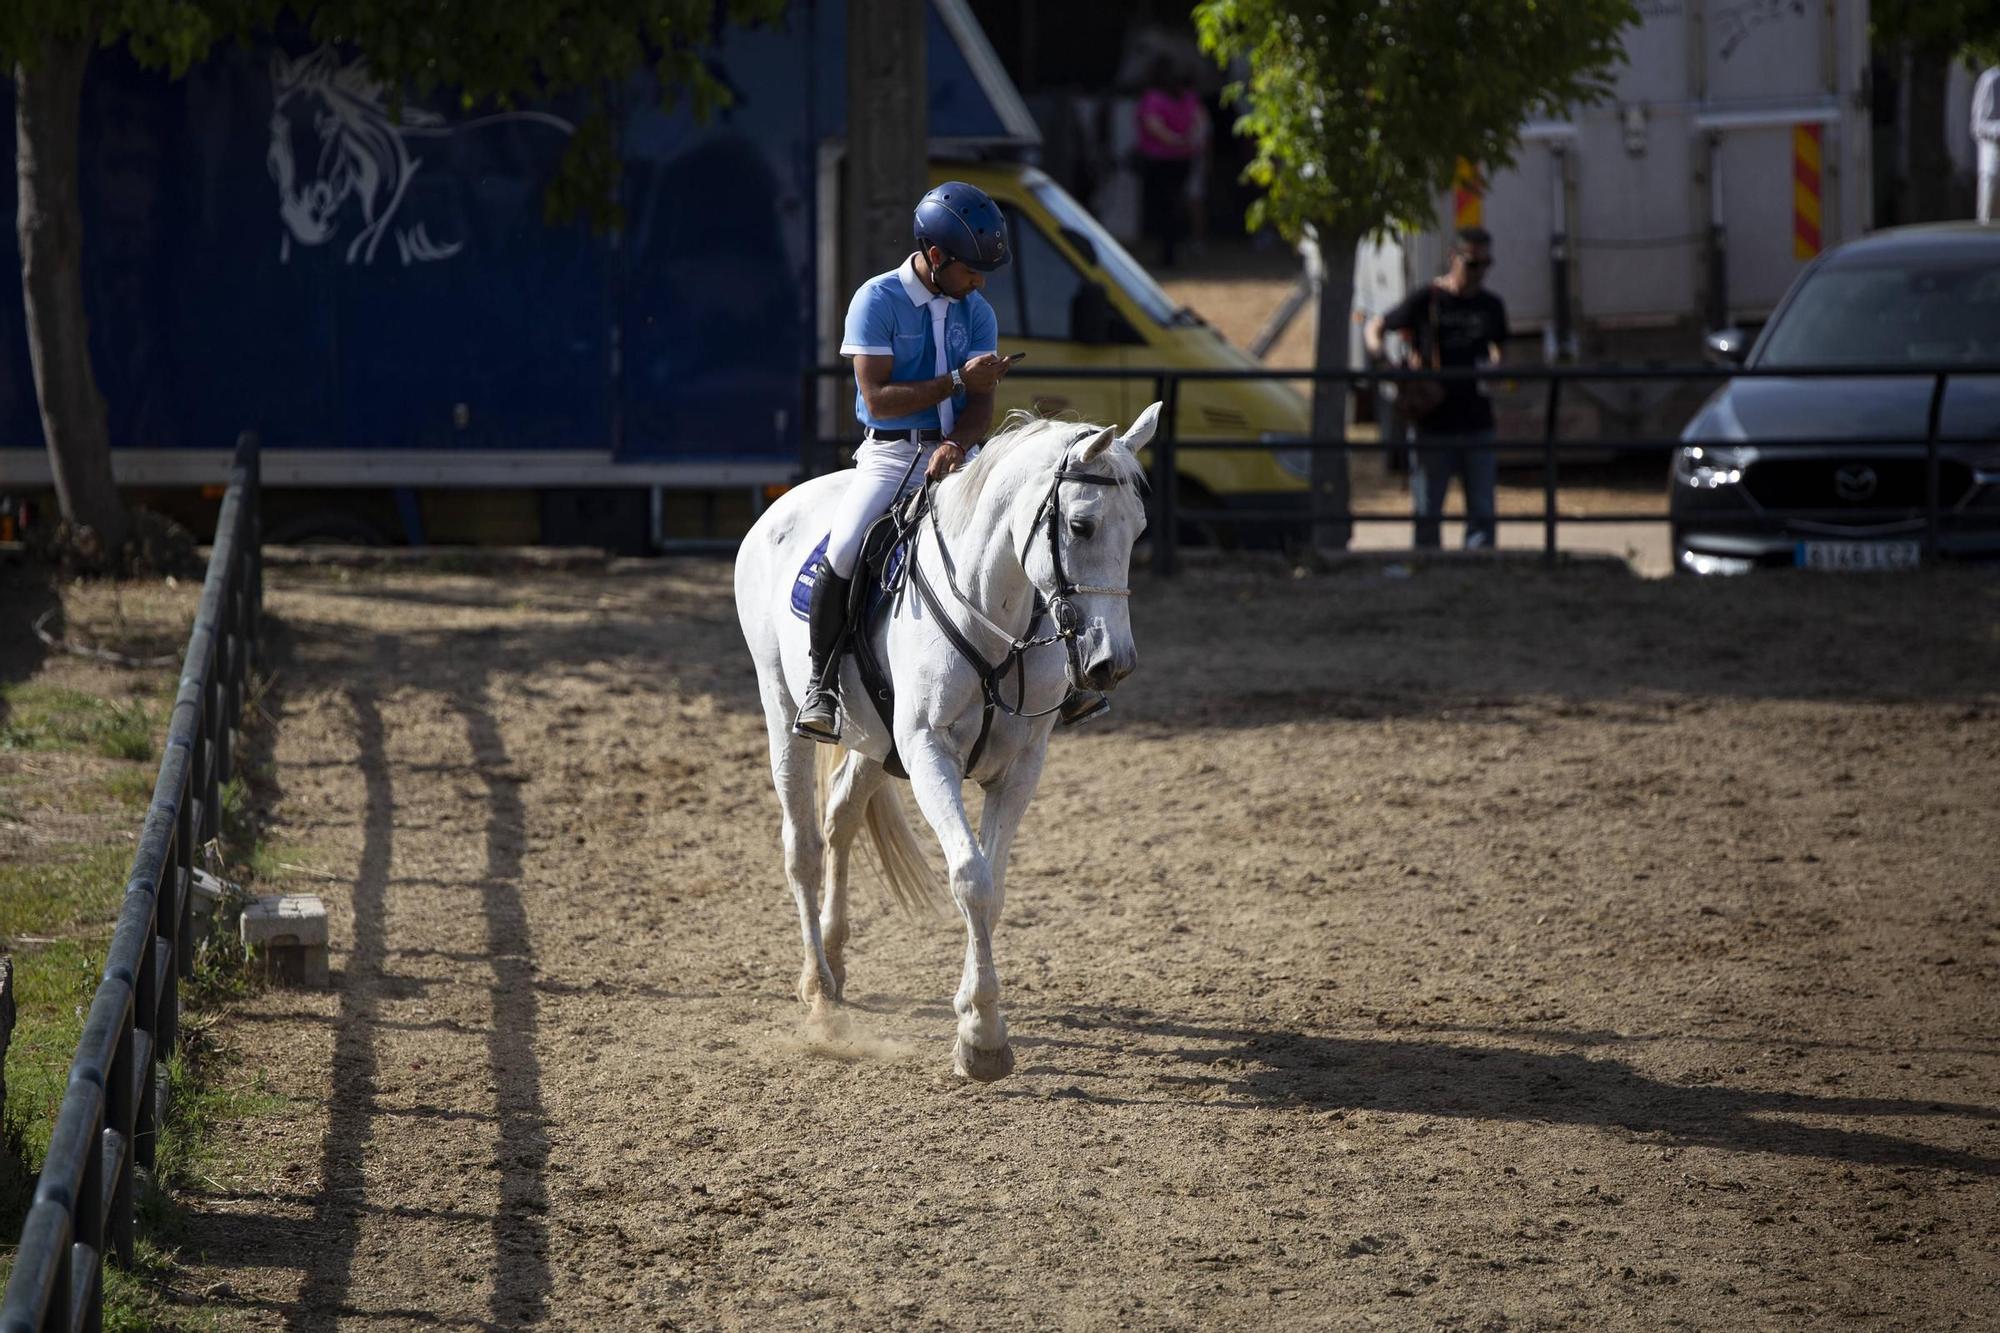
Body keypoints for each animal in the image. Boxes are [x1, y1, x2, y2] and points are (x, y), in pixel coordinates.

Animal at [736, 404, 1160, 1080]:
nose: (1111, 664)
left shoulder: (1020, 767)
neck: (993, 611)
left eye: (1139, 528)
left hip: (874, 741)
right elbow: (970, 879)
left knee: (840, 818)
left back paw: (835, 957)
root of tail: (784, 505)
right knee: (801, 847)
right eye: (1081, 525)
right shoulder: (930, 754)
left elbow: (995, 886)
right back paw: (819, 992)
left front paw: (975, 1018)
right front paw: (982, 1036)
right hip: (782, 712)